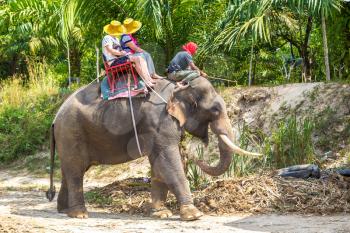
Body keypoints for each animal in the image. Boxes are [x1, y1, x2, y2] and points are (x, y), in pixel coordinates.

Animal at [46, 76, 260, 220]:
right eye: (215, 110)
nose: (195, 156)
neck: (179, 87)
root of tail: (55, 119)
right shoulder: (160, 122)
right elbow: (168, 160)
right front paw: (194, 215)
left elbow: (158, 164)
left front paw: (162, 214)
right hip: (71, 131)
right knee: (76, 170)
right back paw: (79, 214)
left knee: (70, 170)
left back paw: (64, 211)